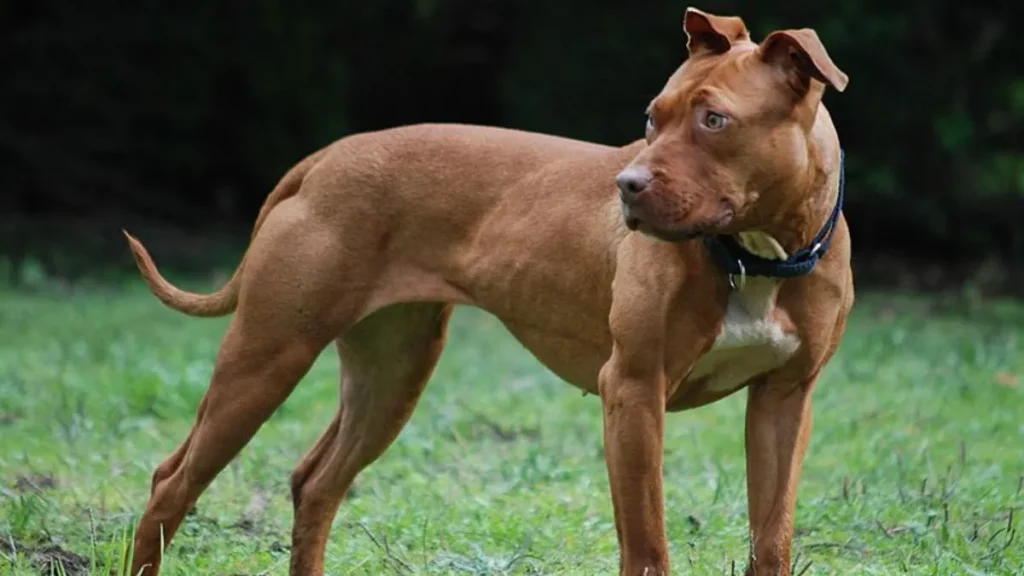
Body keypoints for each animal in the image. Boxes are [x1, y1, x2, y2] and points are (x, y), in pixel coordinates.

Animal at [123, 5, 851, 573]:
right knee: (172, 484)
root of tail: (325, 158)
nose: (627, 186)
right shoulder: (635, 391)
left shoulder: (784, 401)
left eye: (714, 120)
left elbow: (771, 541)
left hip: (391, 374)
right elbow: (647, 548)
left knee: (317, 483)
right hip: (267, 356)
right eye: (652, 117)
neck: (757, 257)